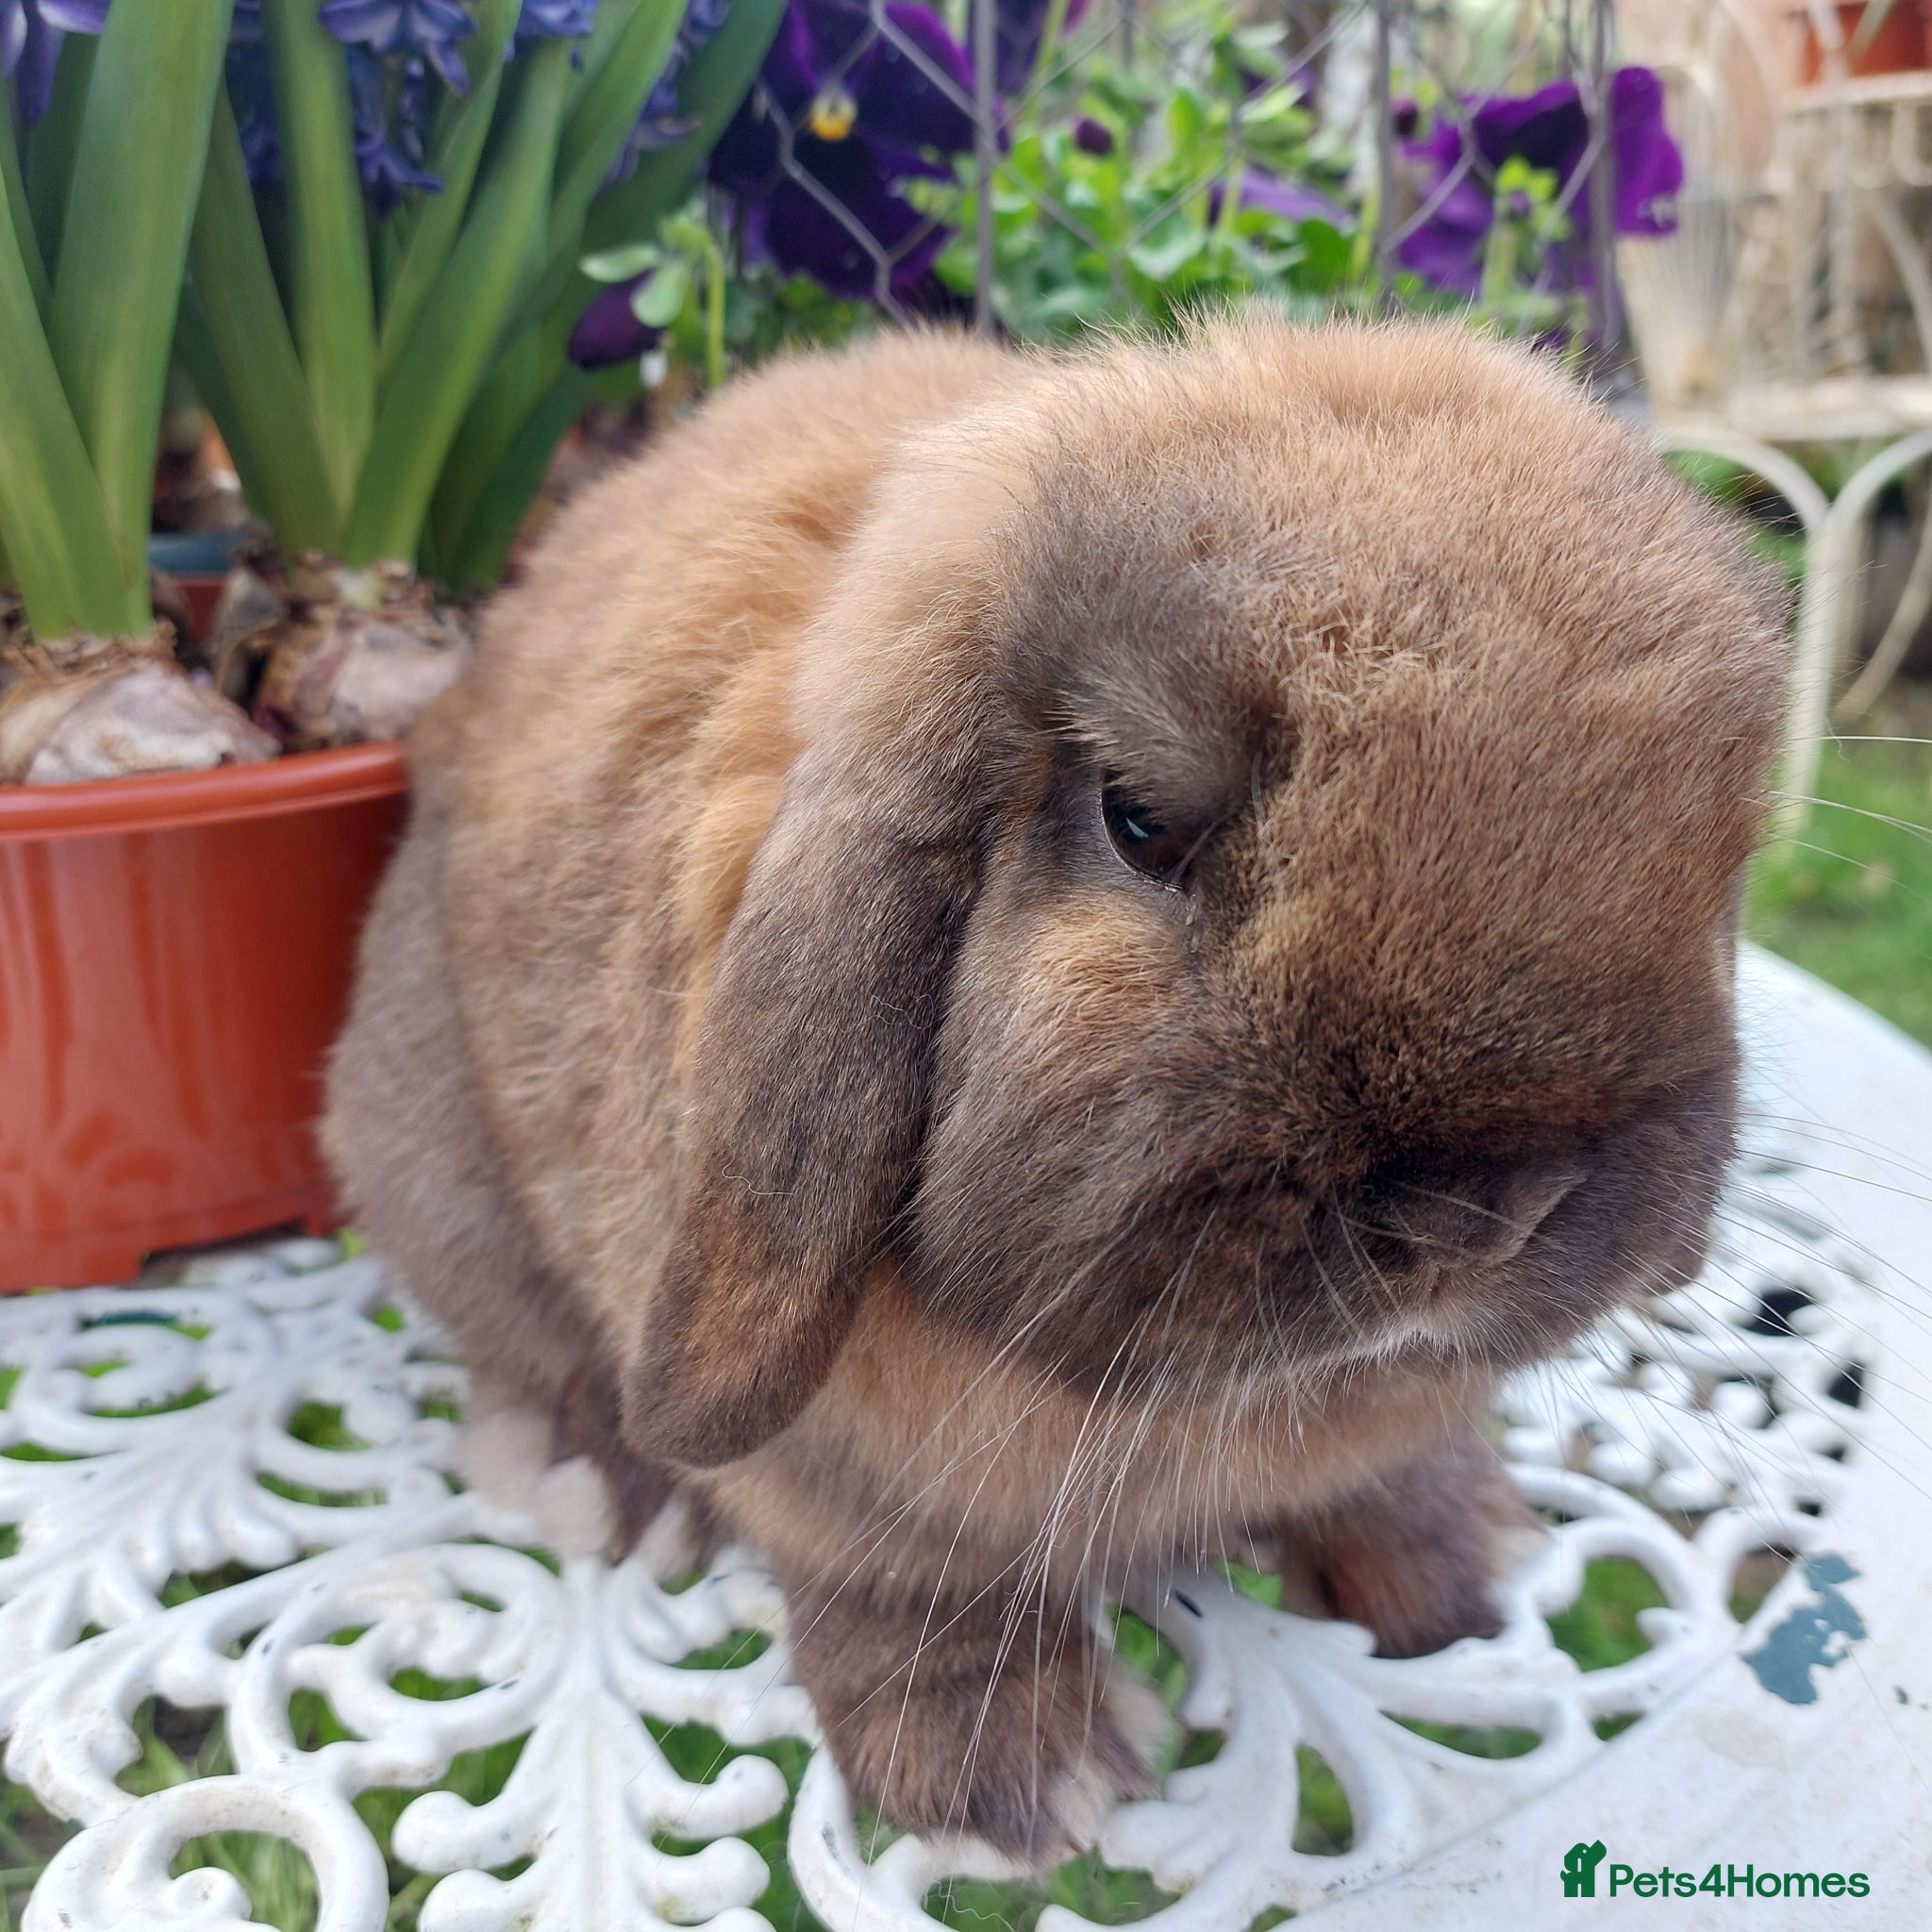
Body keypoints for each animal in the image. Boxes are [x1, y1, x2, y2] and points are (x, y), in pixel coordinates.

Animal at [323, 315, 1786, 1861]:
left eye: (1711, 859)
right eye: (1136, 821)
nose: (1480, 1214)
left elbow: (1396, 1461)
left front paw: (1455, 1563)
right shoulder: (838, 1481)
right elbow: (908, 1587)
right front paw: (1014, 1778)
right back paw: (606, 1485)